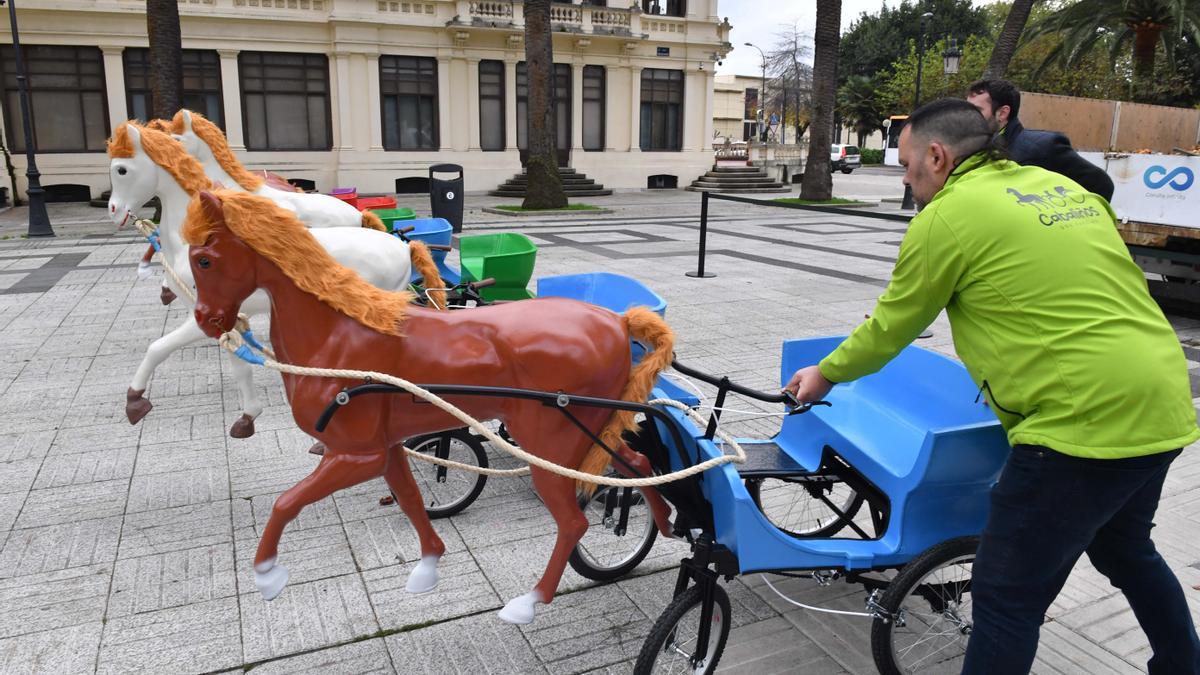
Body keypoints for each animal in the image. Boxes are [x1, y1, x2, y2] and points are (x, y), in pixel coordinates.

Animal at [108, 120, 441, 437]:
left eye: (121, 169)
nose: (113, 210)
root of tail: (403, 246)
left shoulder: (202, 315)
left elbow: (159, 347)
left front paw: (134, 400)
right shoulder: (221, 316)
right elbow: (239, 363)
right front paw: (248, 416)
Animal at [184, 187, 676, 619]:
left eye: (205, 259)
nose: (207, 321)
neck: (337, 337)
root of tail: (618, 322)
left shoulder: (355, 454)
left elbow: (286, 503)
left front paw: (266, 574)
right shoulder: (385, 449)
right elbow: (410, 499)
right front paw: (428, 567)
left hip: (551, 445)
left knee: (574, 522)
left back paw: (530, 602)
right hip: (591, 429)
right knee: (637, 465)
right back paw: (666, 522)